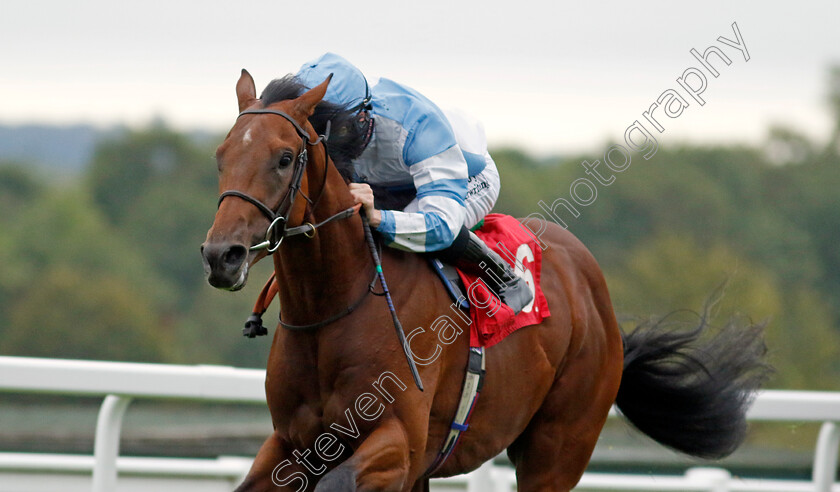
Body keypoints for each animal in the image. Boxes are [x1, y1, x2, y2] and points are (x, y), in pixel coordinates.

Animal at [202, 70, 768, 492]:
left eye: (284, 158)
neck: (336, 304)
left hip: (558, 448)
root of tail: (597, 298)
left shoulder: (399, 441)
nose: (221, 255)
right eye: (221, 156)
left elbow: (338, 481)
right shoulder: (292, 441)